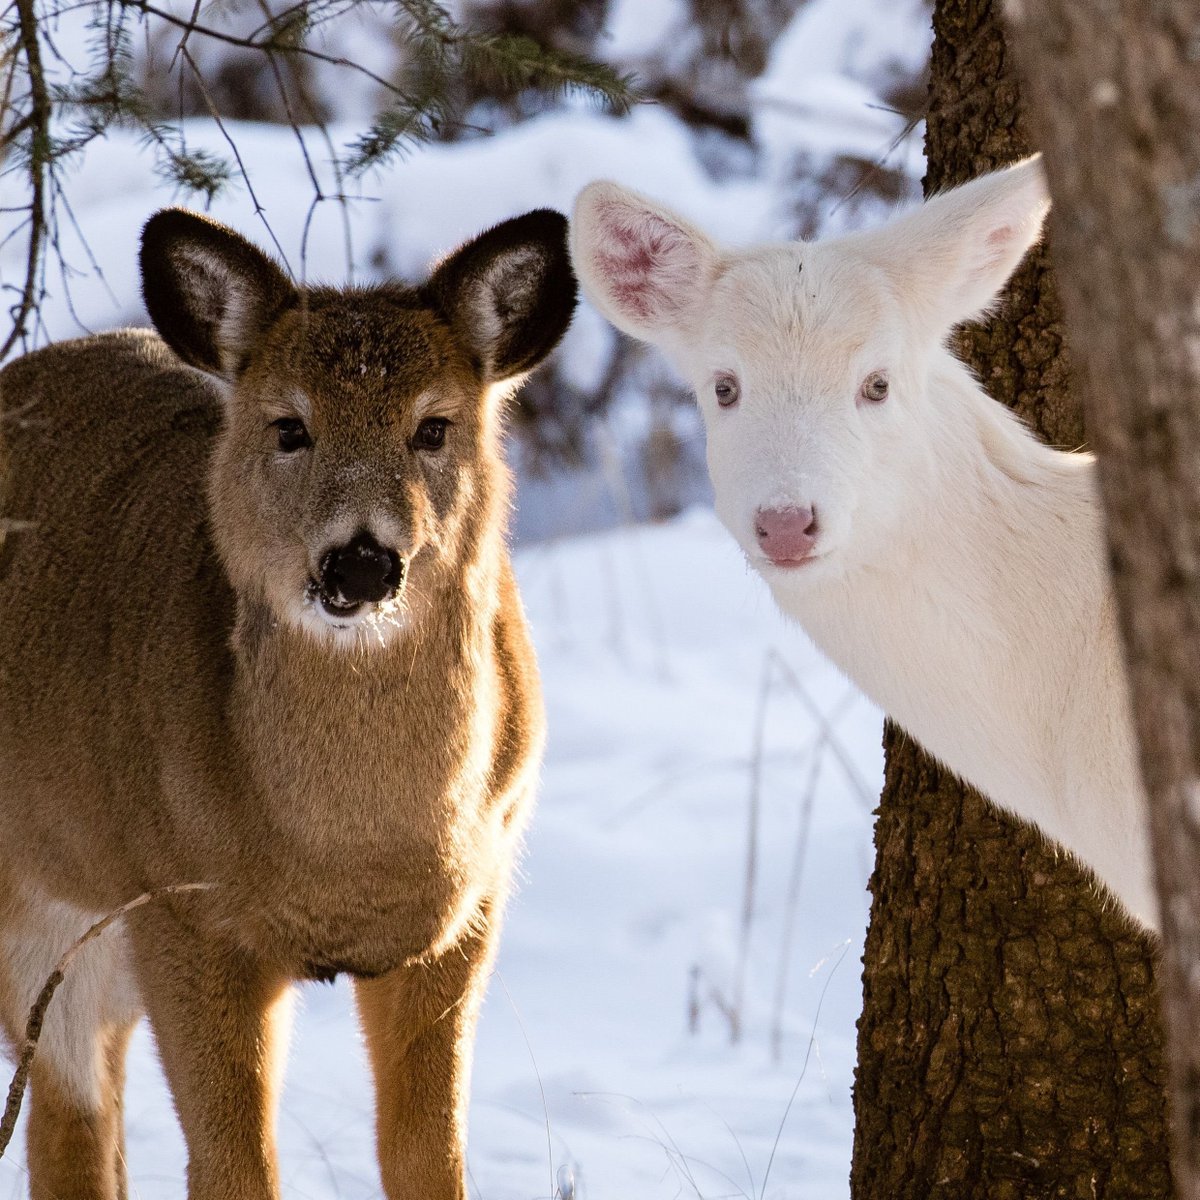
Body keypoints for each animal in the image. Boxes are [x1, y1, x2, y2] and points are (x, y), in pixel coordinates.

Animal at [0, 204, 575, 1199]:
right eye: (288, 427)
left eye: (434, 427)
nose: (361, 561)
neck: (350, 856)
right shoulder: (187, 913)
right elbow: (236, 1166)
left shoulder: (461, 916)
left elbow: (430, 1159)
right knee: (71, 1119)